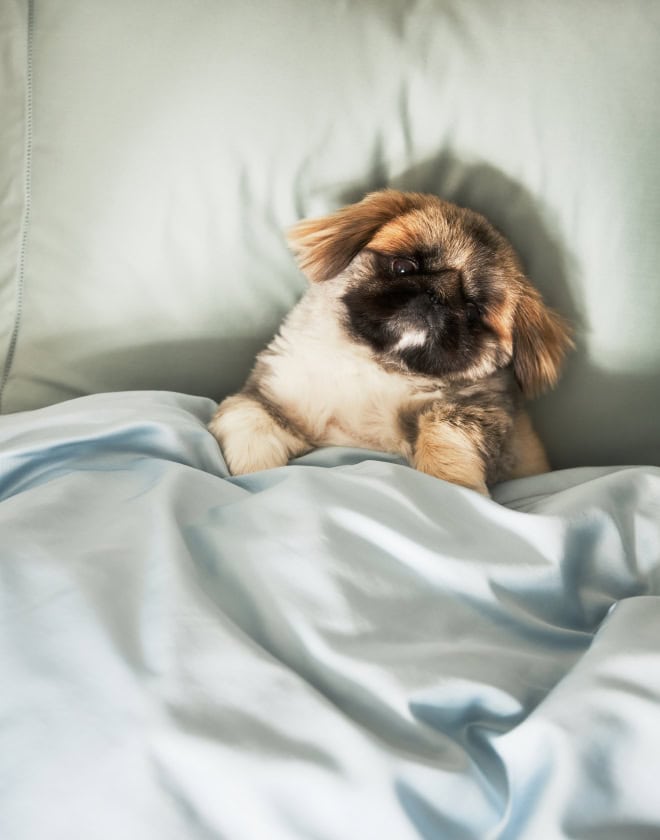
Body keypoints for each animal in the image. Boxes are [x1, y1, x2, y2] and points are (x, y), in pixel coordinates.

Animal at [209, 190, 568, 492]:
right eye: (403, 266)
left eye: (472, 311)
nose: (436, 296)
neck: (377, 364)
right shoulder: (269, 391)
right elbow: (246, 416)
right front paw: (256, 470)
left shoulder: (480, 411)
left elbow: (444, 432)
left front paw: (450, 486)